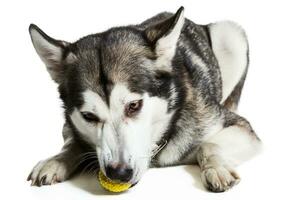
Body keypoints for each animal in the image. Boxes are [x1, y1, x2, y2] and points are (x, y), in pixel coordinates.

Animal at [28, 7, 262, 192]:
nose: (119, 173)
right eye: (88, 116)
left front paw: (217, 168)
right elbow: (71, 142)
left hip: (231, 35)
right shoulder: (68, 126)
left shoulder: (236, 125)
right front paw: (55, 160)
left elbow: (209, 144)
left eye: (134, 106)